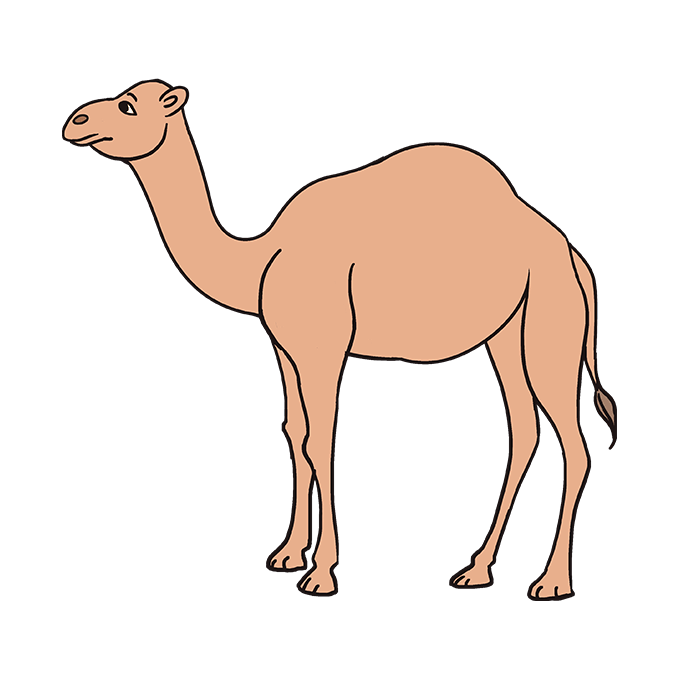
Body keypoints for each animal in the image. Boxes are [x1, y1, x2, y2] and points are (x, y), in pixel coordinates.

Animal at [62, 79, 617, 601]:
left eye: (129, 105)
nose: (75, 120)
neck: (261, 258)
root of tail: (572, 253)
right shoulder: (285, 349)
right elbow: (293, 431)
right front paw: (288, 554)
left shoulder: (323, 346)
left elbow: (321, 439)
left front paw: (321, 572)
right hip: (505, 334)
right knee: (524, 430)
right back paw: (477, 569)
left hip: (551, 320)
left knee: (575, 444)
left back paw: (552, 582)